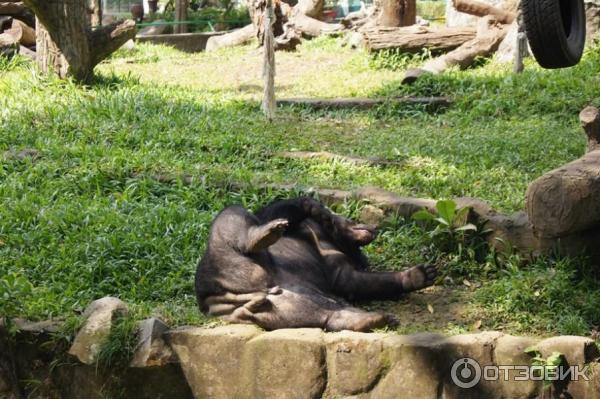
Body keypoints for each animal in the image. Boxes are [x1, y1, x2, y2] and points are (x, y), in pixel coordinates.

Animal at [195, 198, 438, 332]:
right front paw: (318, 208)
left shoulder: (344, 269)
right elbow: (274, 211)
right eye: (350, 219)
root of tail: (215, 303)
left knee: (325, 313)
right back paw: (260, 235)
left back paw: (371, 320)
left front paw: (416, 276)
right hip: (220, 262)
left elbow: (357, 282)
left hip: (283, 308)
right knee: (231, 215)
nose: (372, 227)